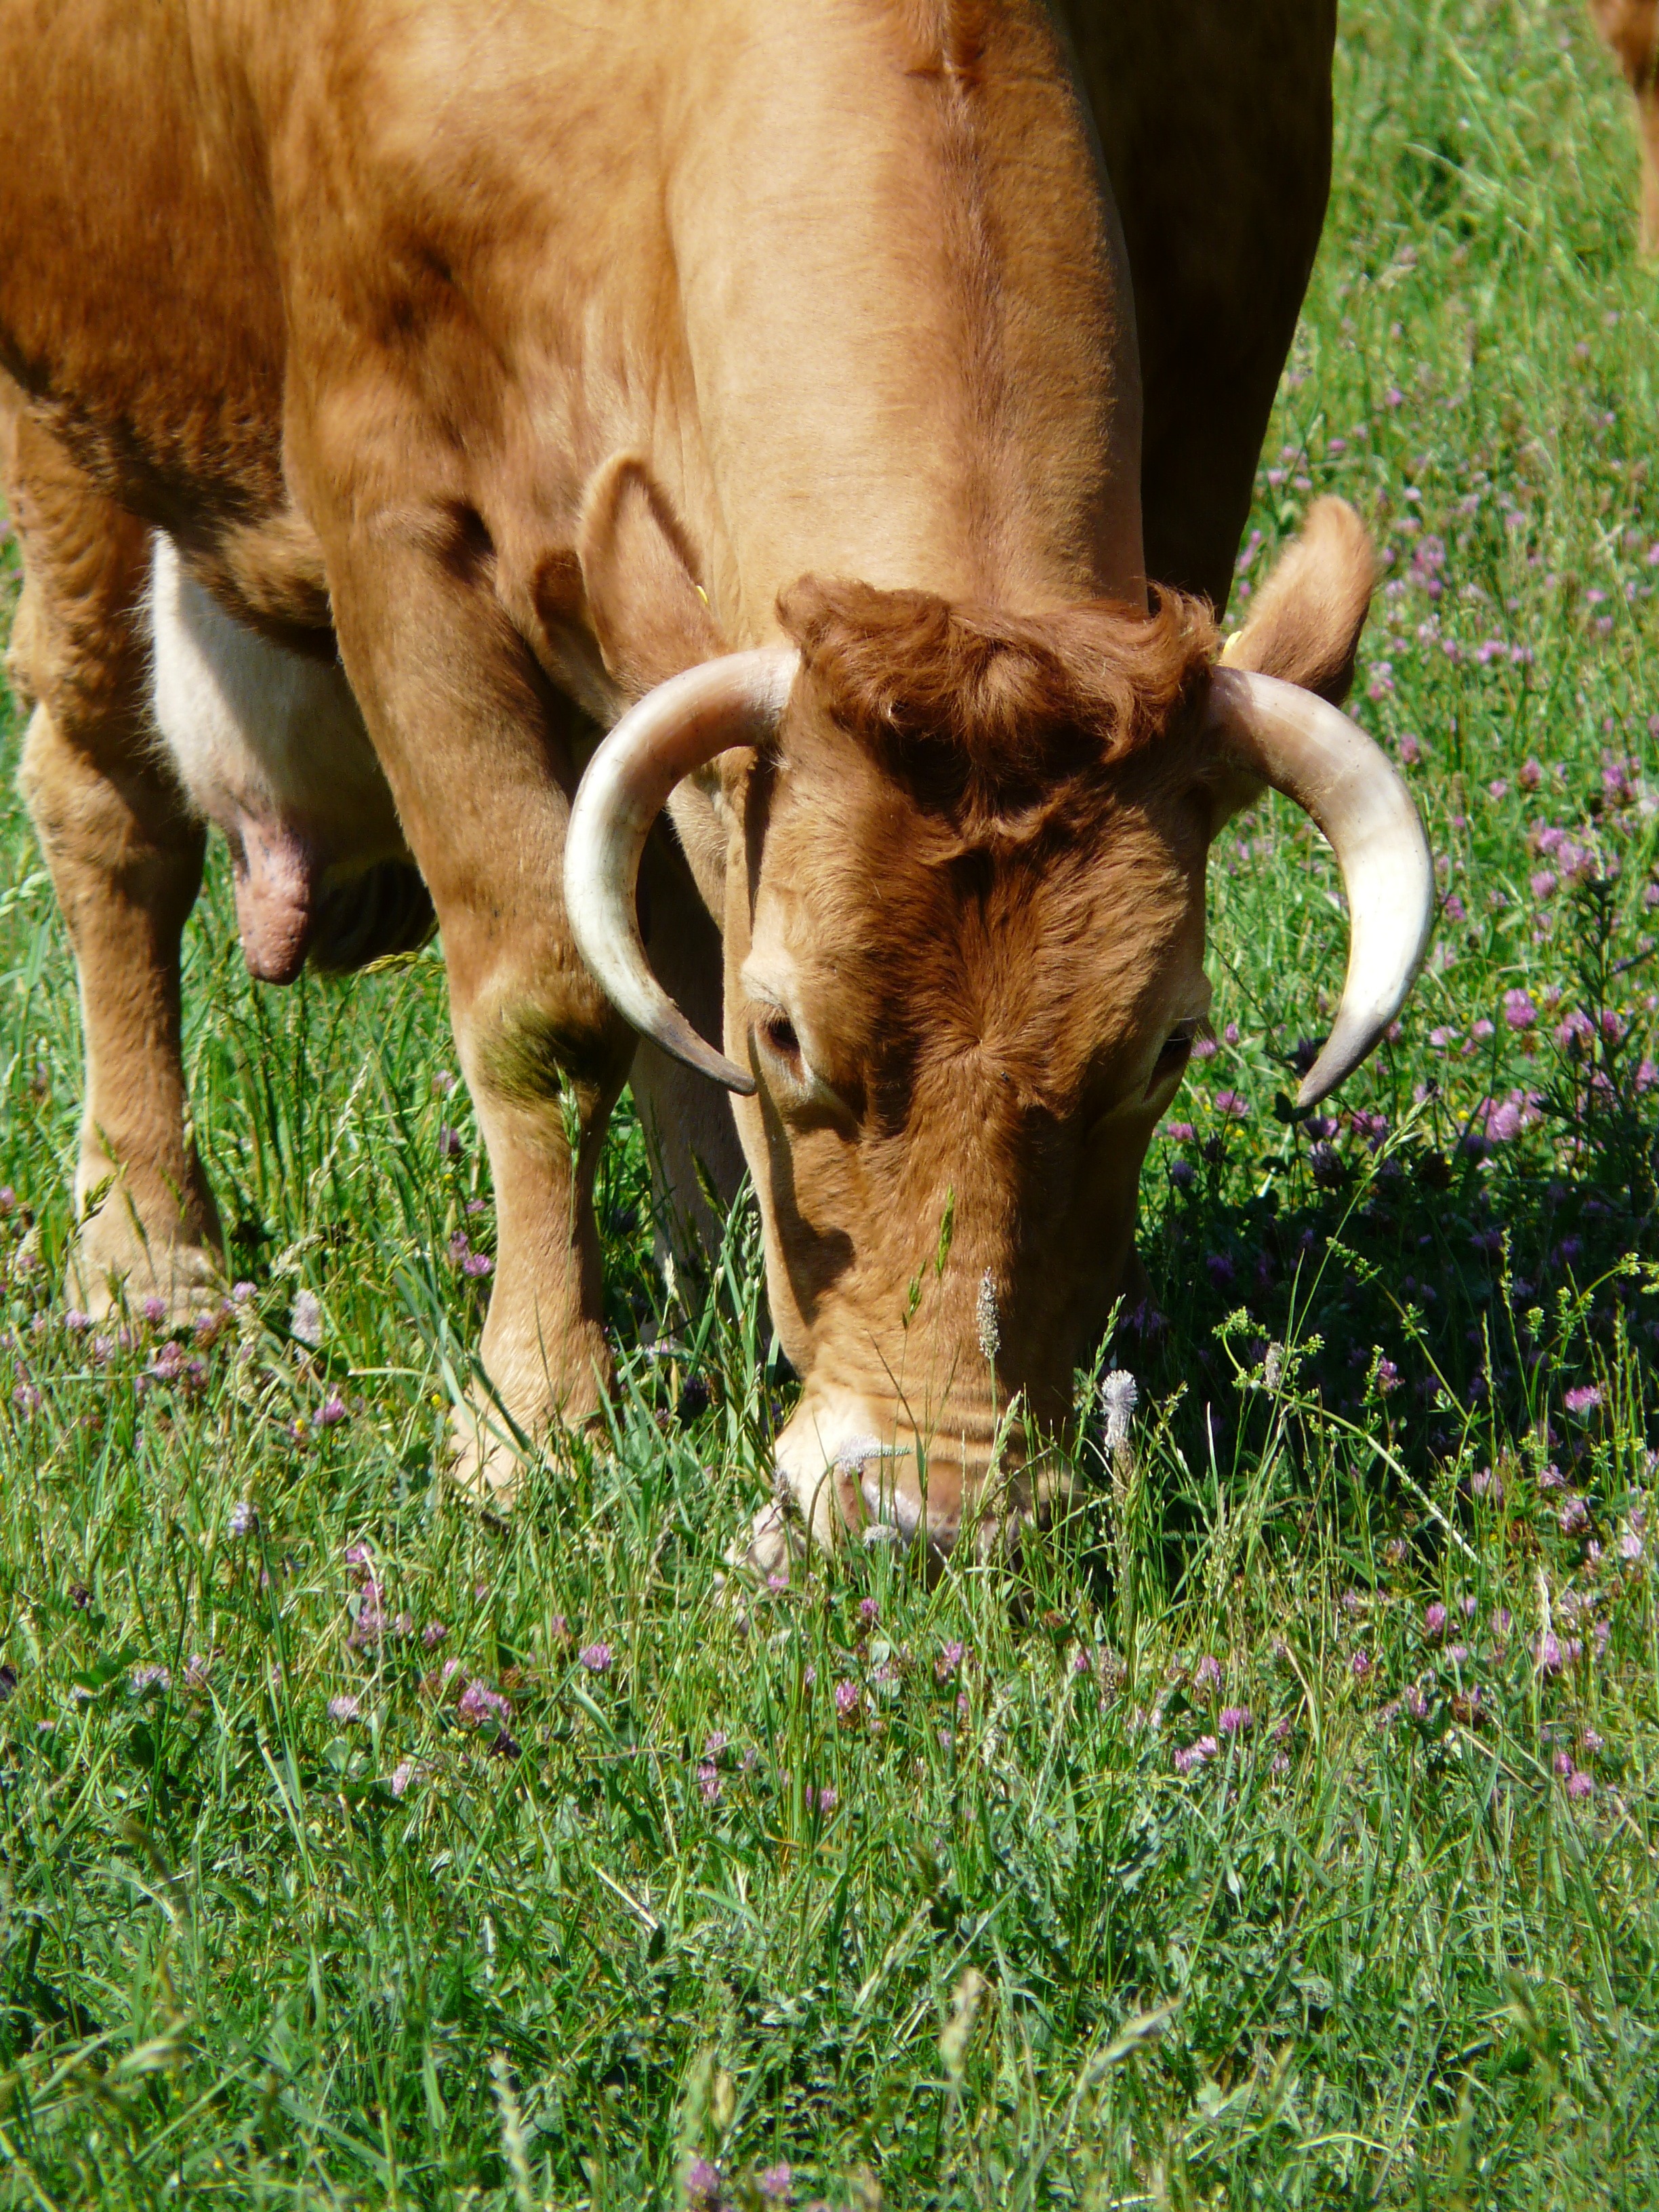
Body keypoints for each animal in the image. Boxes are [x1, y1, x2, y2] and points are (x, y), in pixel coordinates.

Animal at [0, 0, 1431, 1567]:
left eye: (1170, 1045)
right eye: (788, 1031)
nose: (928, 1511)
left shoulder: (1202, 431)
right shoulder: (398, 527)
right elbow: (545, 1008)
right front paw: (531, 1418)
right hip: (78, 423)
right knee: (109, 812)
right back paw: (149, 1260)